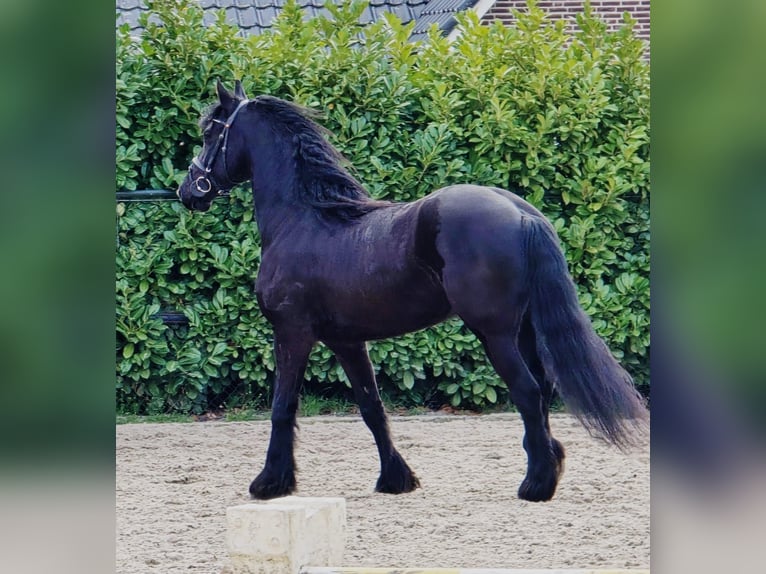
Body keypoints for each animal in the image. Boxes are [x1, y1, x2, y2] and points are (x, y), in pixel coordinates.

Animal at [176, 80, 648, 502]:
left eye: (210, 131)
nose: (188, 190)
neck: (306, 219)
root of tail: (521, 213)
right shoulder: (347, 342)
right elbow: (371, 408)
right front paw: (395, 479)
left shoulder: (292, 333)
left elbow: (282, 407)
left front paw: (270, 483)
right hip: (525, 331)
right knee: (544, 391)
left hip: (495, 334)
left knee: (528, 393)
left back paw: (536, 485)